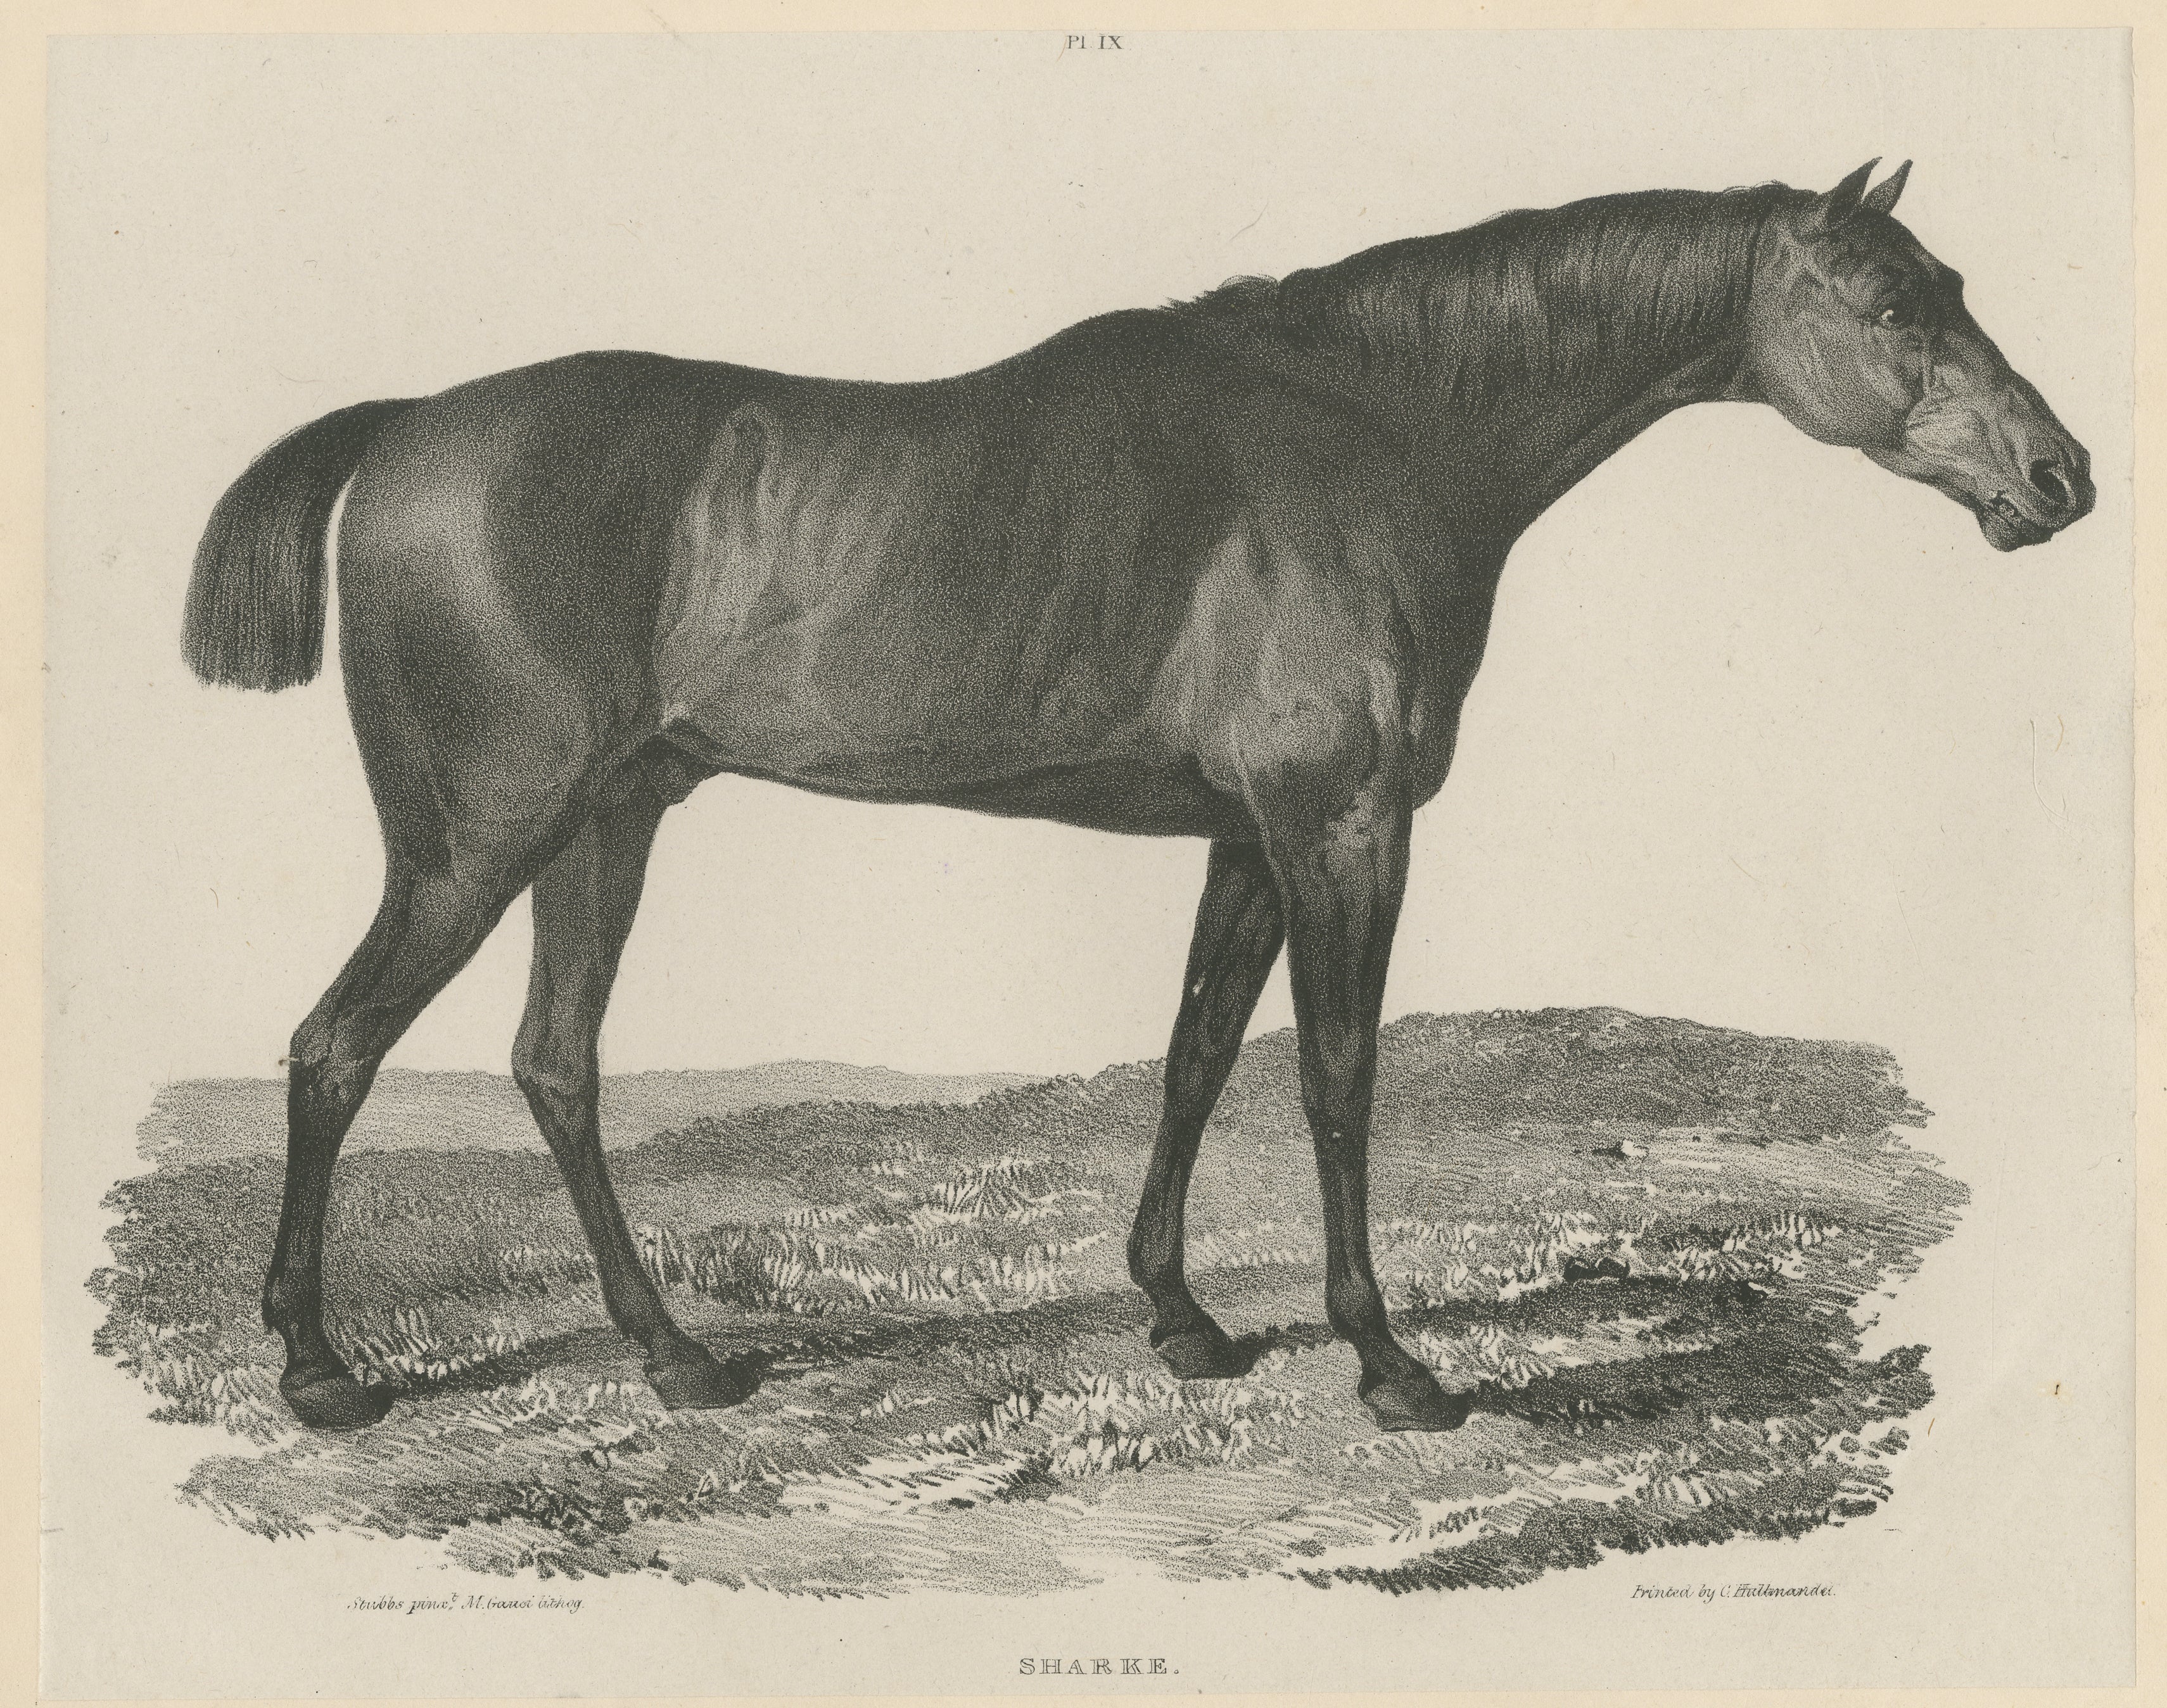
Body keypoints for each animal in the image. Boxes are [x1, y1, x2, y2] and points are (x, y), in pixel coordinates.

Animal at [184, 160, 2093, 1433]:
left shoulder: (1247, 840)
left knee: (553, 1065)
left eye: (1947, 282)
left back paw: (681, 1356)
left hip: (610, 823)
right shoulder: (1341, 828)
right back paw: (321, 1370)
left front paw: (1182, 1318)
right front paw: (1389, 1363)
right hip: (476, 840)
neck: (1371, 427)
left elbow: (1192, 1057)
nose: (2058, 474)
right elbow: (1334, 1077)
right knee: (335, 1051)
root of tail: (406, 428)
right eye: (1893, 302)